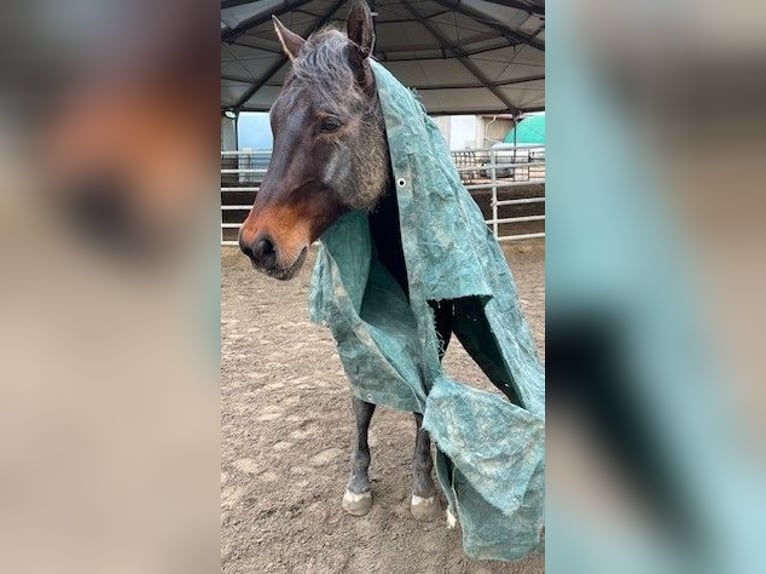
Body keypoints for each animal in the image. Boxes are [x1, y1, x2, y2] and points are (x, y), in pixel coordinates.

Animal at [238, 1, 454, 521]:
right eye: (272, 121)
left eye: (330, 123)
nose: (258, 245)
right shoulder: (352, 322)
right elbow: (362, 399)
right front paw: (358, 483)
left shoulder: (433, 327)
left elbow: (422, 398)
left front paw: (423, 486)